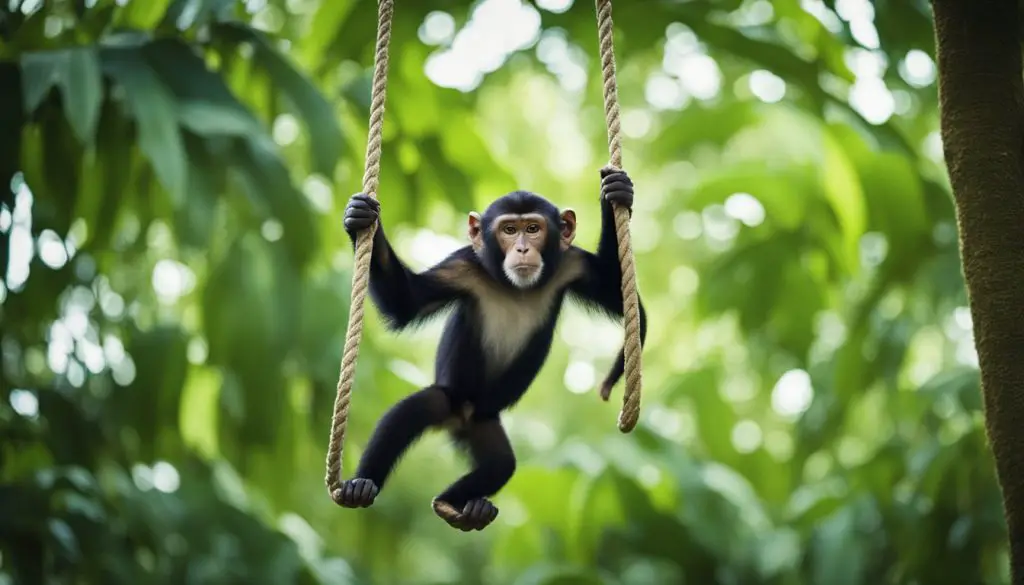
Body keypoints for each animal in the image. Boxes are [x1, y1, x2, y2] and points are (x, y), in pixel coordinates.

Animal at [335, 168, 648, 531]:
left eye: (533, 228)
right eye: (509, 230)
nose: (523, 248)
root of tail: (459, 421)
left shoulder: (574, 264)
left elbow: (629, 307)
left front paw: (617, 193)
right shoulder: (461, 266)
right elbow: (407, 301)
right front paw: (359, 218)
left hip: (484, 423)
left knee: (500, 465)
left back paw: (460, 505)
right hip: (451, 400)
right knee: (413, 411)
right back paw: (362, 485)